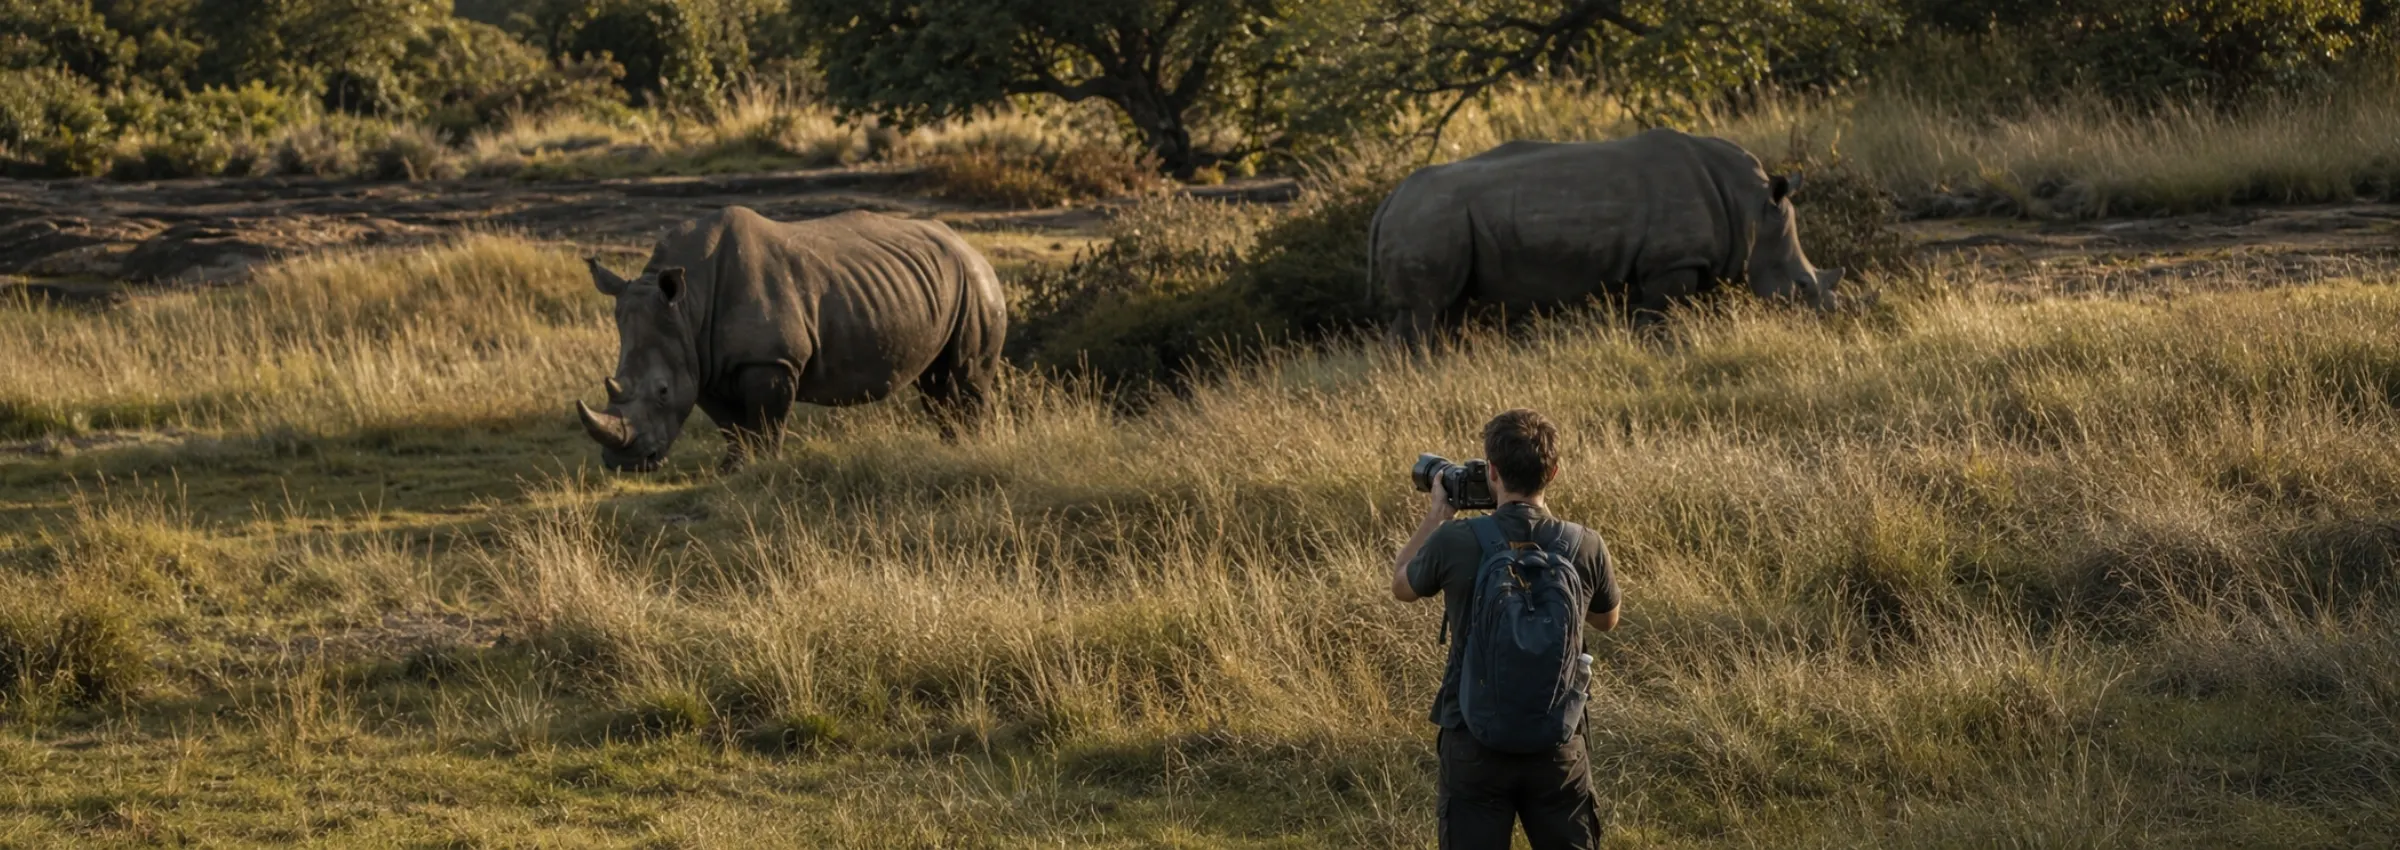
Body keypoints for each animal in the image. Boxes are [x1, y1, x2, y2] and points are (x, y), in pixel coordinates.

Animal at [575, 206, 1006, 472]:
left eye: (662, 392)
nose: (625, 465)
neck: (688, 306)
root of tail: (968, 246)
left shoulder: (771, 361)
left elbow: (767, 421)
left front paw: (764, 465)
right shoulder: (701, 362)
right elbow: (730, 424)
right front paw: (732, 468)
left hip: (976, 281)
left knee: (968, 375)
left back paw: (974, 448)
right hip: (935, 282)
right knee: (933, 380)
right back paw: (951, 448)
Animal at [1371, 128, 1843, 342]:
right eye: (1802, 286)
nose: (1828, 318)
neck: (1750, 205)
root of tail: (1390, 199)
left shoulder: (1653, 266)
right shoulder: (1671, 264)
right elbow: (1660, 316)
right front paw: (1662, 348)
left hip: (1434, 221)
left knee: (1445, 307)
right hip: (1431, 221)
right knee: (1427, 310)